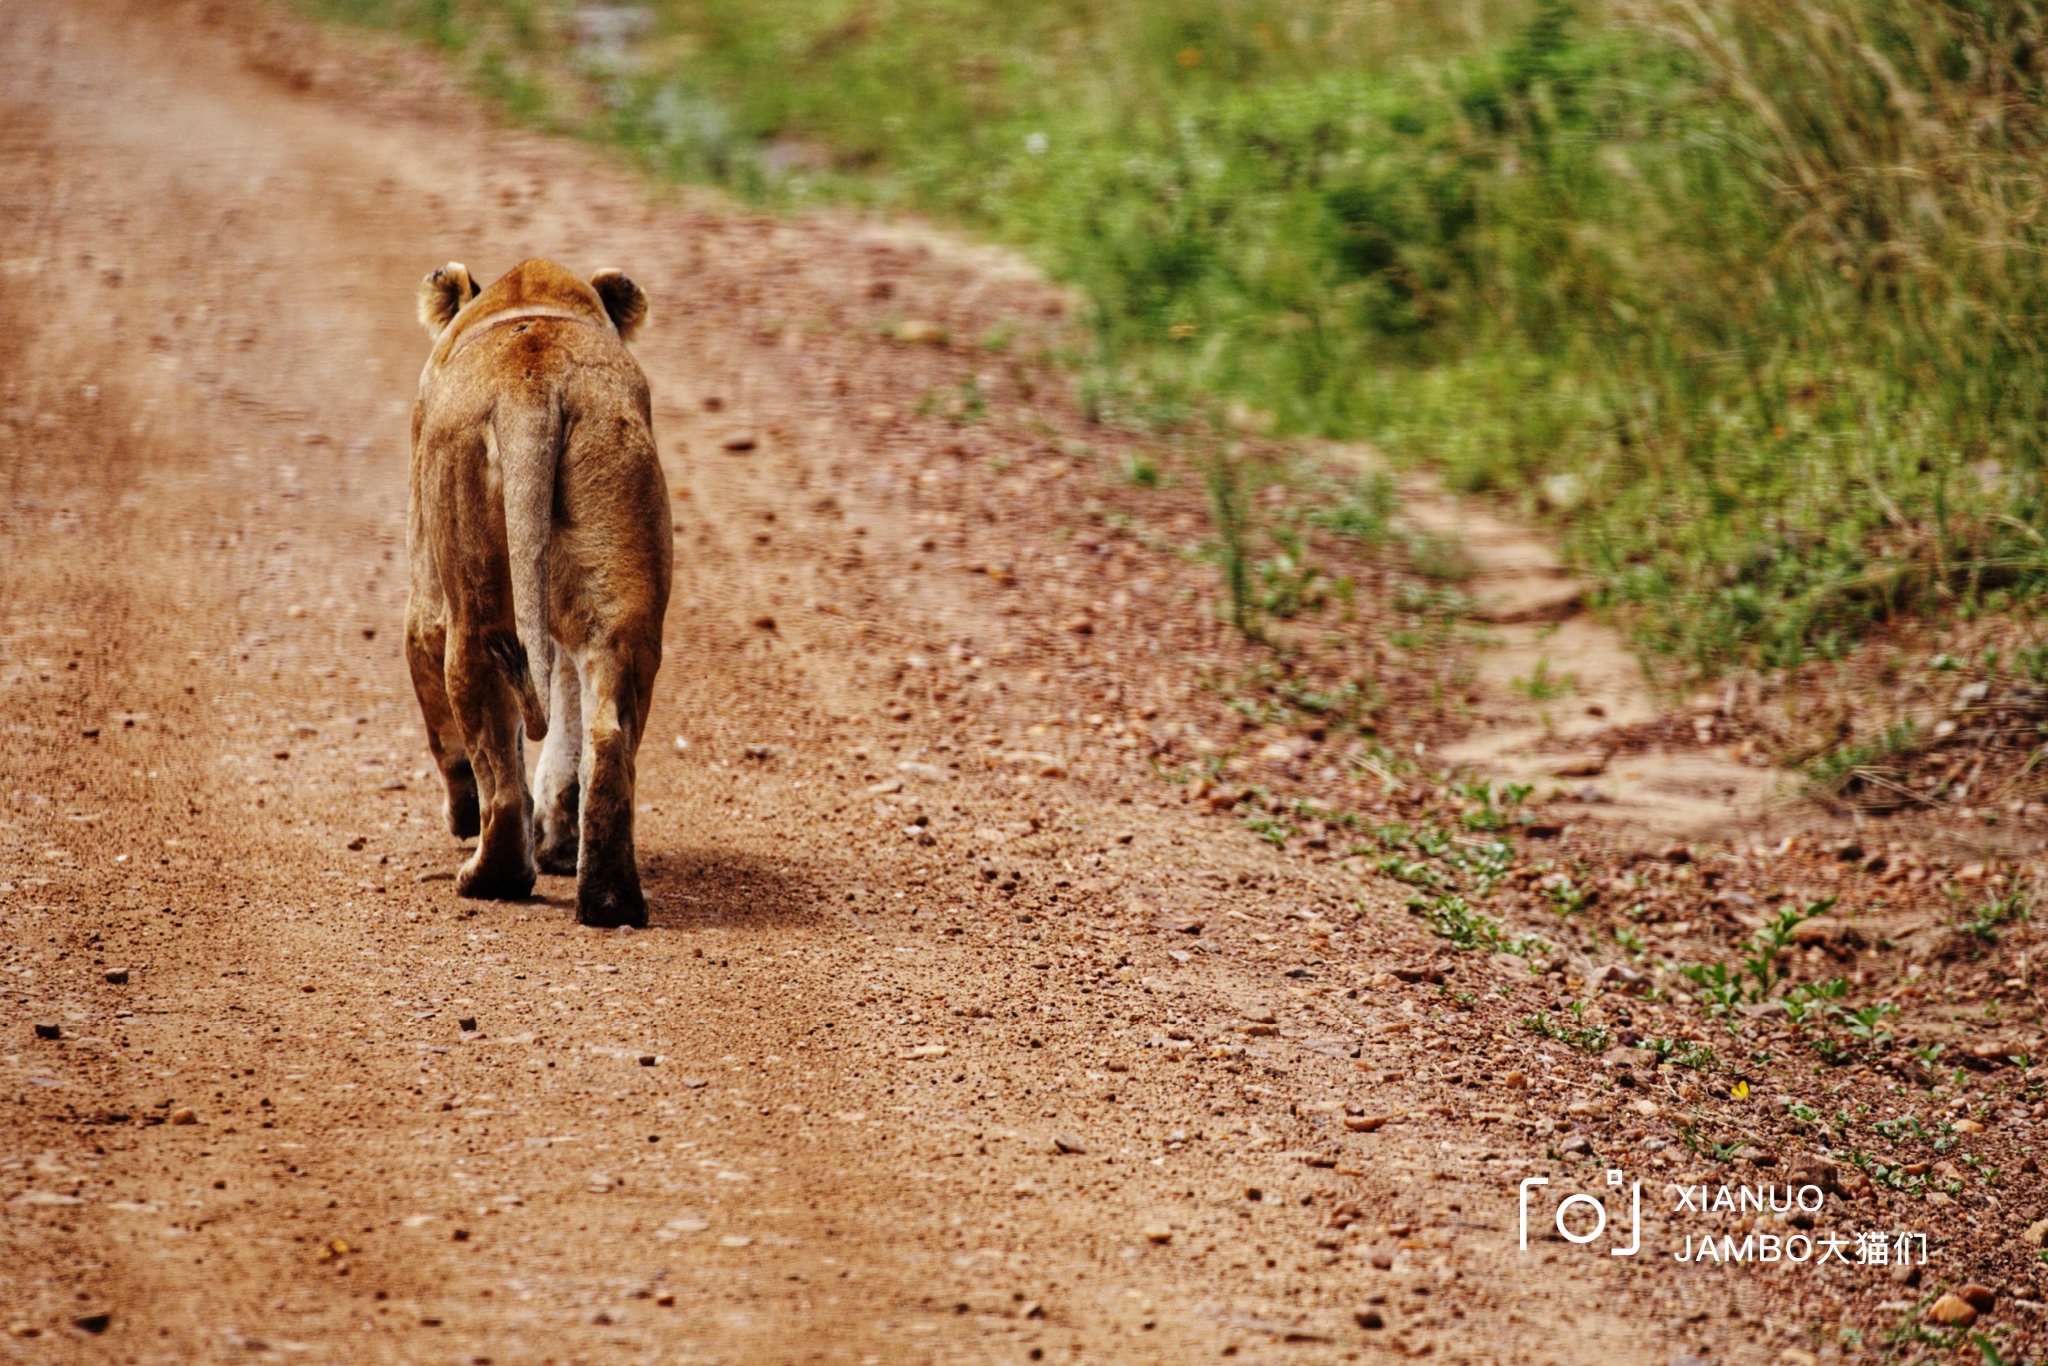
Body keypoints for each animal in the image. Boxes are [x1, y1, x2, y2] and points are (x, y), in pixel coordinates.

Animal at [405, 258, 671, 929]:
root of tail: (534, 388)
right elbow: (569, 722)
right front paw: (558, 840)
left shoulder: (424, 595)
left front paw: (462, 816)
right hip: (622, 595)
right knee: (607, 735)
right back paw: (608, 898)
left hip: (474, 609)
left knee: (497, 765)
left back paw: (488, 876)